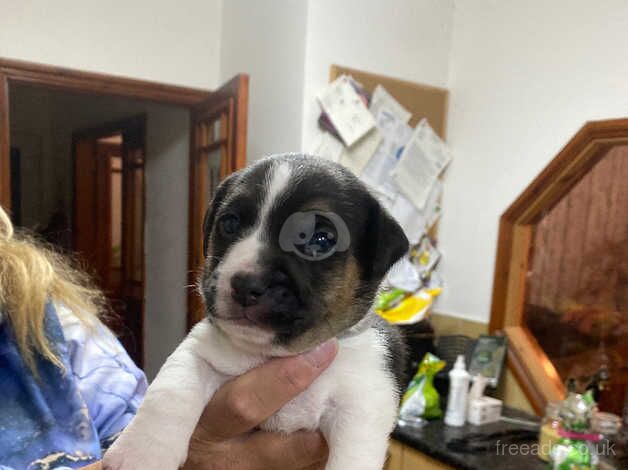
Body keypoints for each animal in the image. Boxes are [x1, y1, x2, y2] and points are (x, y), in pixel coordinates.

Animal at [105, 155, 410, 470]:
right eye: (229, 223)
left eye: (321, 240)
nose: (245, 284)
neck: (275, 353)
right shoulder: (200, 352)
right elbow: (169, 392)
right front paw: (143, 452)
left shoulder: (362, 407)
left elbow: (352, 457)